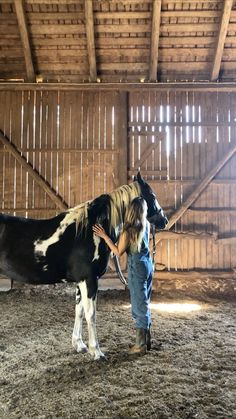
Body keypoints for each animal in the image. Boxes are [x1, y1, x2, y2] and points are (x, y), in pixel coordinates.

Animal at [0, 172, 168, 360]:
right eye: (152, 196)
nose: (164, 220)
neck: (91, 230)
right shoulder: (89, 280)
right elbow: (91, 314)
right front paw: (97, 352)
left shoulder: (80, 282)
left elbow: (79, 311)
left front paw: (79, 345)